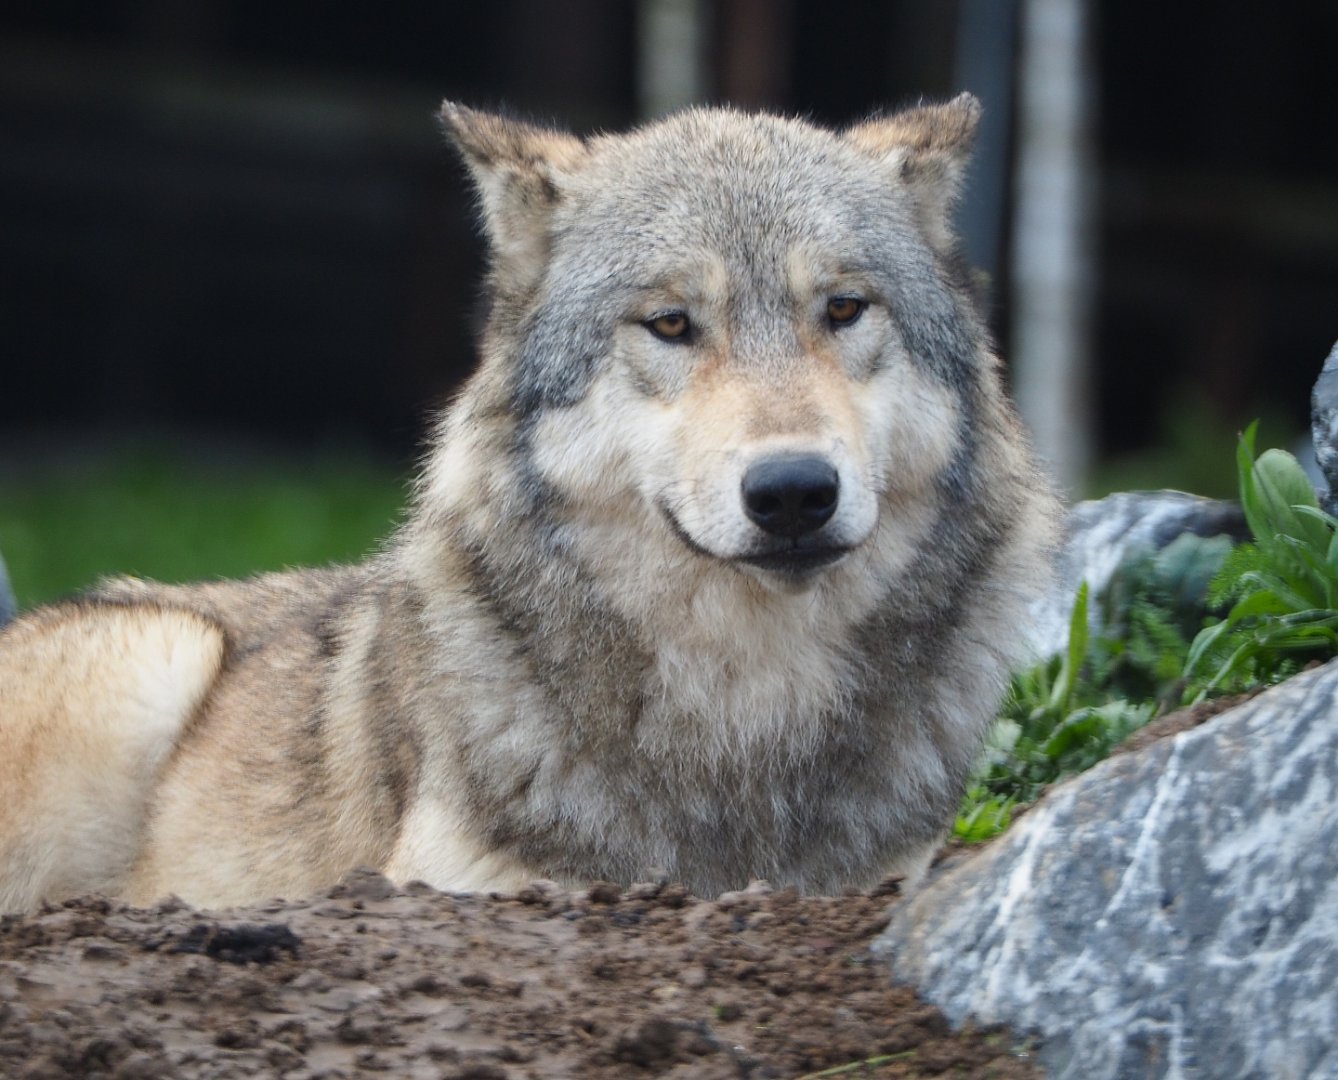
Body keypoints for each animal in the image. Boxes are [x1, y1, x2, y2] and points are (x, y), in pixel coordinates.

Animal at [0, 95, 1060, 912]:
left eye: (843, 309)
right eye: (671, 324)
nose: (794, 490)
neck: (744, 723)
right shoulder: (449, 890)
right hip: (155, 648)